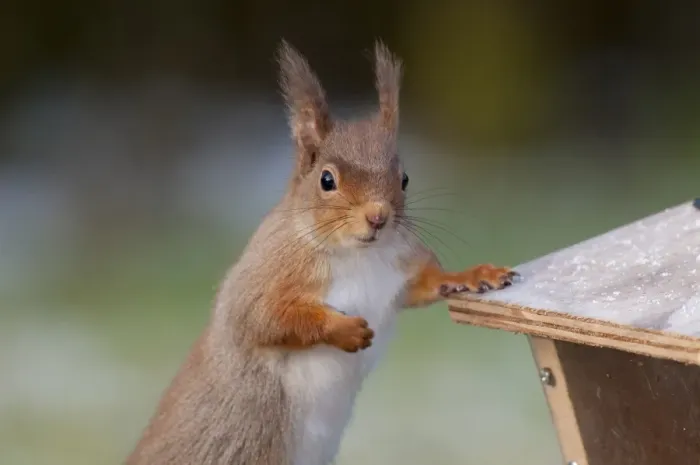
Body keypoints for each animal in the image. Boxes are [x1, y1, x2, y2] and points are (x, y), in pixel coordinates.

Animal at [125, 40, 518, 465]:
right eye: (326, 180)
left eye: (405, 179)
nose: (378, 217)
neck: (357, 255)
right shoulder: (268, 273)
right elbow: (264, 317)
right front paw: (344, 329)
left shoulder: (398, 272)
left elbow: (429, 283)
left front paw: (475, 275)